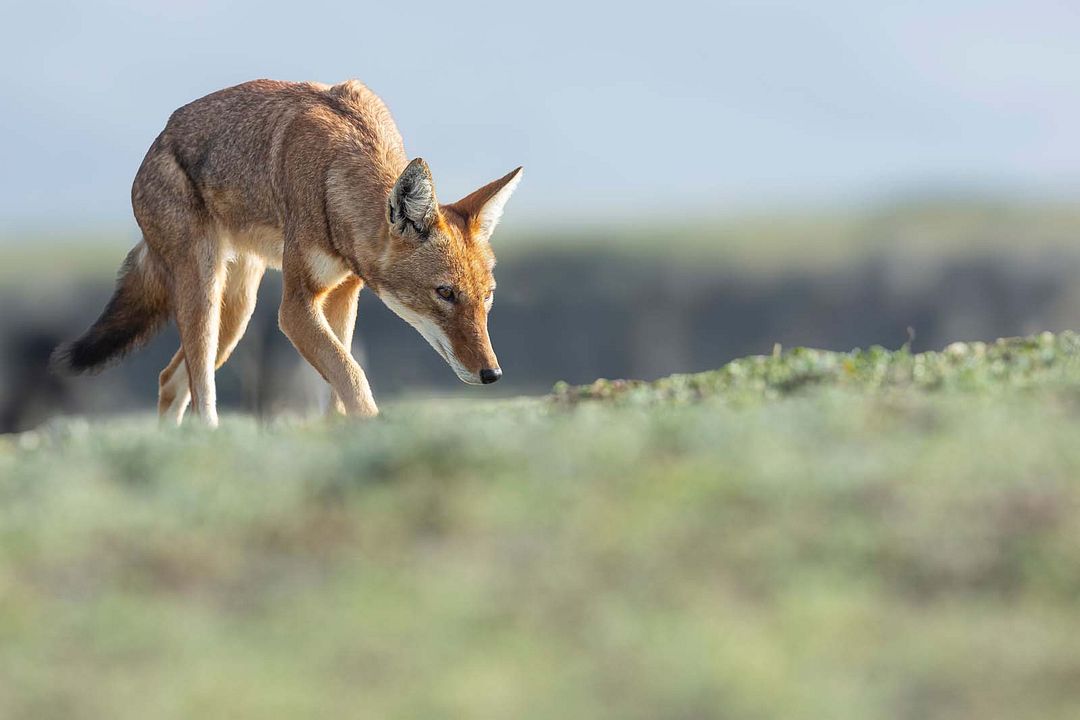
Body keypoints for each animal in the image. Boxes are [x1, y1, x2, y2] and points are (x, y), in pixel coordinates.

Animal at [52, 79, 522, 426]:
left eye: (487, 297)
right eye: (445, 294)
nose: (493, 374)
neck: (336, 178)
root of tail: (157, 141)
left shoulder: (343, 294)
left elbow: (340, 382)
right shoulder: (295, 308)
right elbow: (352, 373)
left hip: (235, 315)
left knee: (170, 381)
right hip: (205, 297)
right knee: (200, 391)